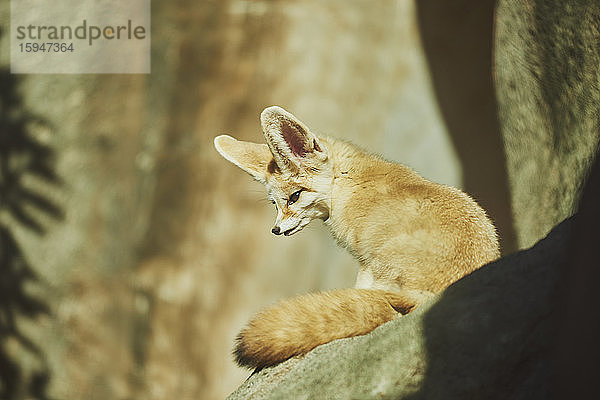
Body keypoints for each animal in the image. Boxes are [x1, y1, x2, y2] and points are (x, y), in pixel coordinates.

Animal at [213, 105, 500, 368]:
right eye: (274, 203)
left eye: (294, 197)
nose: (276, 230)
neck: (346, 181)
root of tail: (431, 293)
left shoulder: (365, 263)